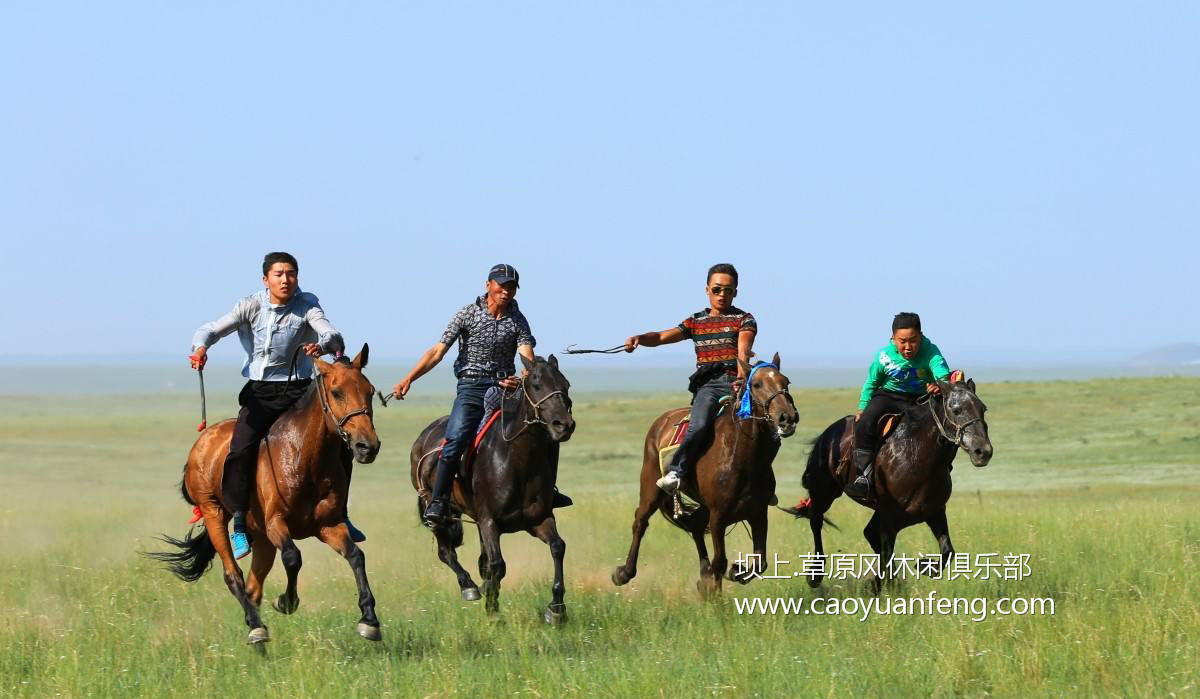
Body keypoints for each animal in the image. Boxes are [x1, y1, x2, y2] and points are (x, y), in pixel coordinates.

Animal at [146, 345, 384, 648]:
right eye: (337, 392)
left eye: (370, 390)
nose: (367, 446)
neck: (304, 458)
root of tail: (202, 441)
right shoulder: (276, 524)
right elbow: (293, 557)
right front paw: (286, 601)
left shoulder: (326, 525)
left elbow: (356, 555)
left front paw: (369, 620)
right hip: (214, 513)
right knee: (233, 575)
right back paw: (257, 626)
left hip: (261, 539)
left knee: (253, 588)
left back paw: (256, 636)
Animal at [412, 355, 576, 624]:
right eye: (536, 384)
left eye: (566, 384)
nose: (563, 425)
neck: (517, 462)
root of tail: (422, 437)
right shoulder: (489, 521)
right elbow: (498, 565)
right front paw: (492, 609)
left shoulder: (538, 519)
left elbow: (557, 547)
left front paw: (556, 608)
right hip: (438, 512)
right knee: (447, 553)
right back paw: (469, 587)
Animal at [614, 357, 801, 600]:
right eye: (757, 384)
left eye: (785, 381)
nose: (787, 417)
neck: (740, 456)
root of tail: (662, 421)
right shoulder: (719, 516)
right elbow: (720, 561)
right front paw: (715, 595)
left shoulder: (758, 513)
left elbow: (760, 562)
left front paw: (735, 572)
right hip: (651, 489)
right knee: (640, 521)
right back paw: (623, 573)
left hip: (703, 505)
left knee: (695, 528)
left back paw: (703, 576)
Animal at [787, 374, 993, 595]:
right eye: (956, 410)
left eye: (983, 408)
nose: (983, 451)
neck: (915, 455)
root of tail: (828, 434)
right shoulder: (889, 518)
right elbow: (886, 553)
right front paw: (888, 585)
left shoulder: (934, 512)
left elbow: (947, 552)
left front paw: (923, 567)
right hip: (824, 491)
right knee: (816, 520)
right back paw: (815, 575)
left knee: (868, 534)